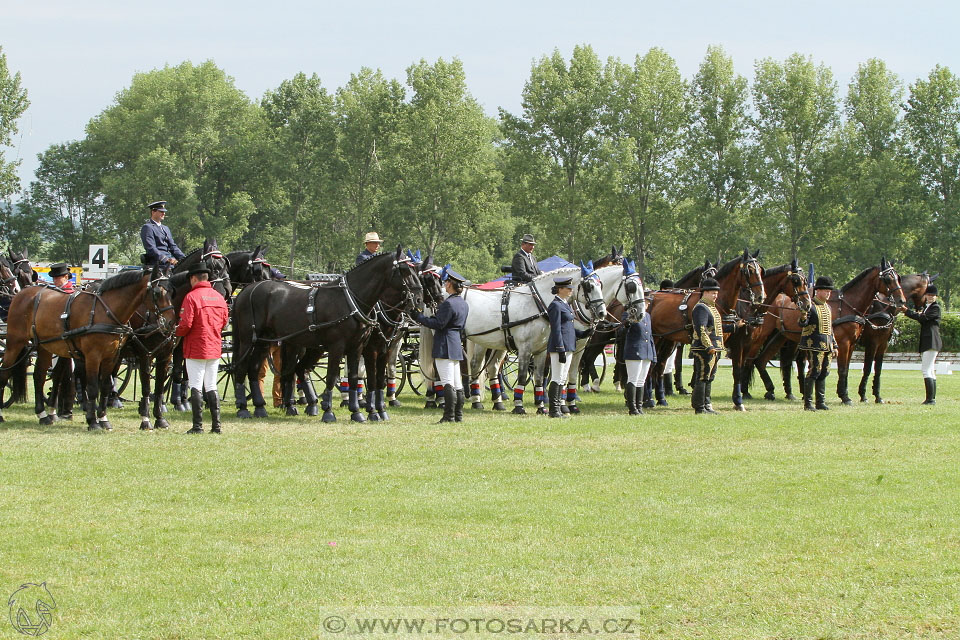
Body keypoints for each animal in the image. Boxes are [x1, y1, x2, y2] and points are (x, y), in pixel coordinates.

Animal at [0, 264, 174, 430]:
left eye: (171, 290)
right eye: (158, 292)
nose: (171, 322)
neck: (106, 310)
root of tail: (22, 293)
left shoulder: (111, 357)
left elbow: (105, 386)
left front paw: (104, 420)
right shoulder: (94, 356)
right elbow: (92, 388)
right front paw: (93, 421)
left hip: (44, 347)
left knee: (39, 376)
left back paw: (43, 415)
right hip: (14, 343)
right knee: (5, 372)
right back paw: (2, 415)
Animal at [231, 248, 422, 422]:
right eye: (405, 270)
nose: (419, 298)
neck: (351, 300)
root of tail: (246, 291)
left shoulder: (366, 347)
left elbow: (360, 378)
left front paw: (361, 412)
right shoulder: (344, 347)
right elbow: (335, 377)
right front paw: (330, 411)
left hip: (269, 342)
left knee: (267, 370)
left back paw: (265, 407)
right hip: (249, 341)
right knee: (243, 369)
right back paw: (244, 408)